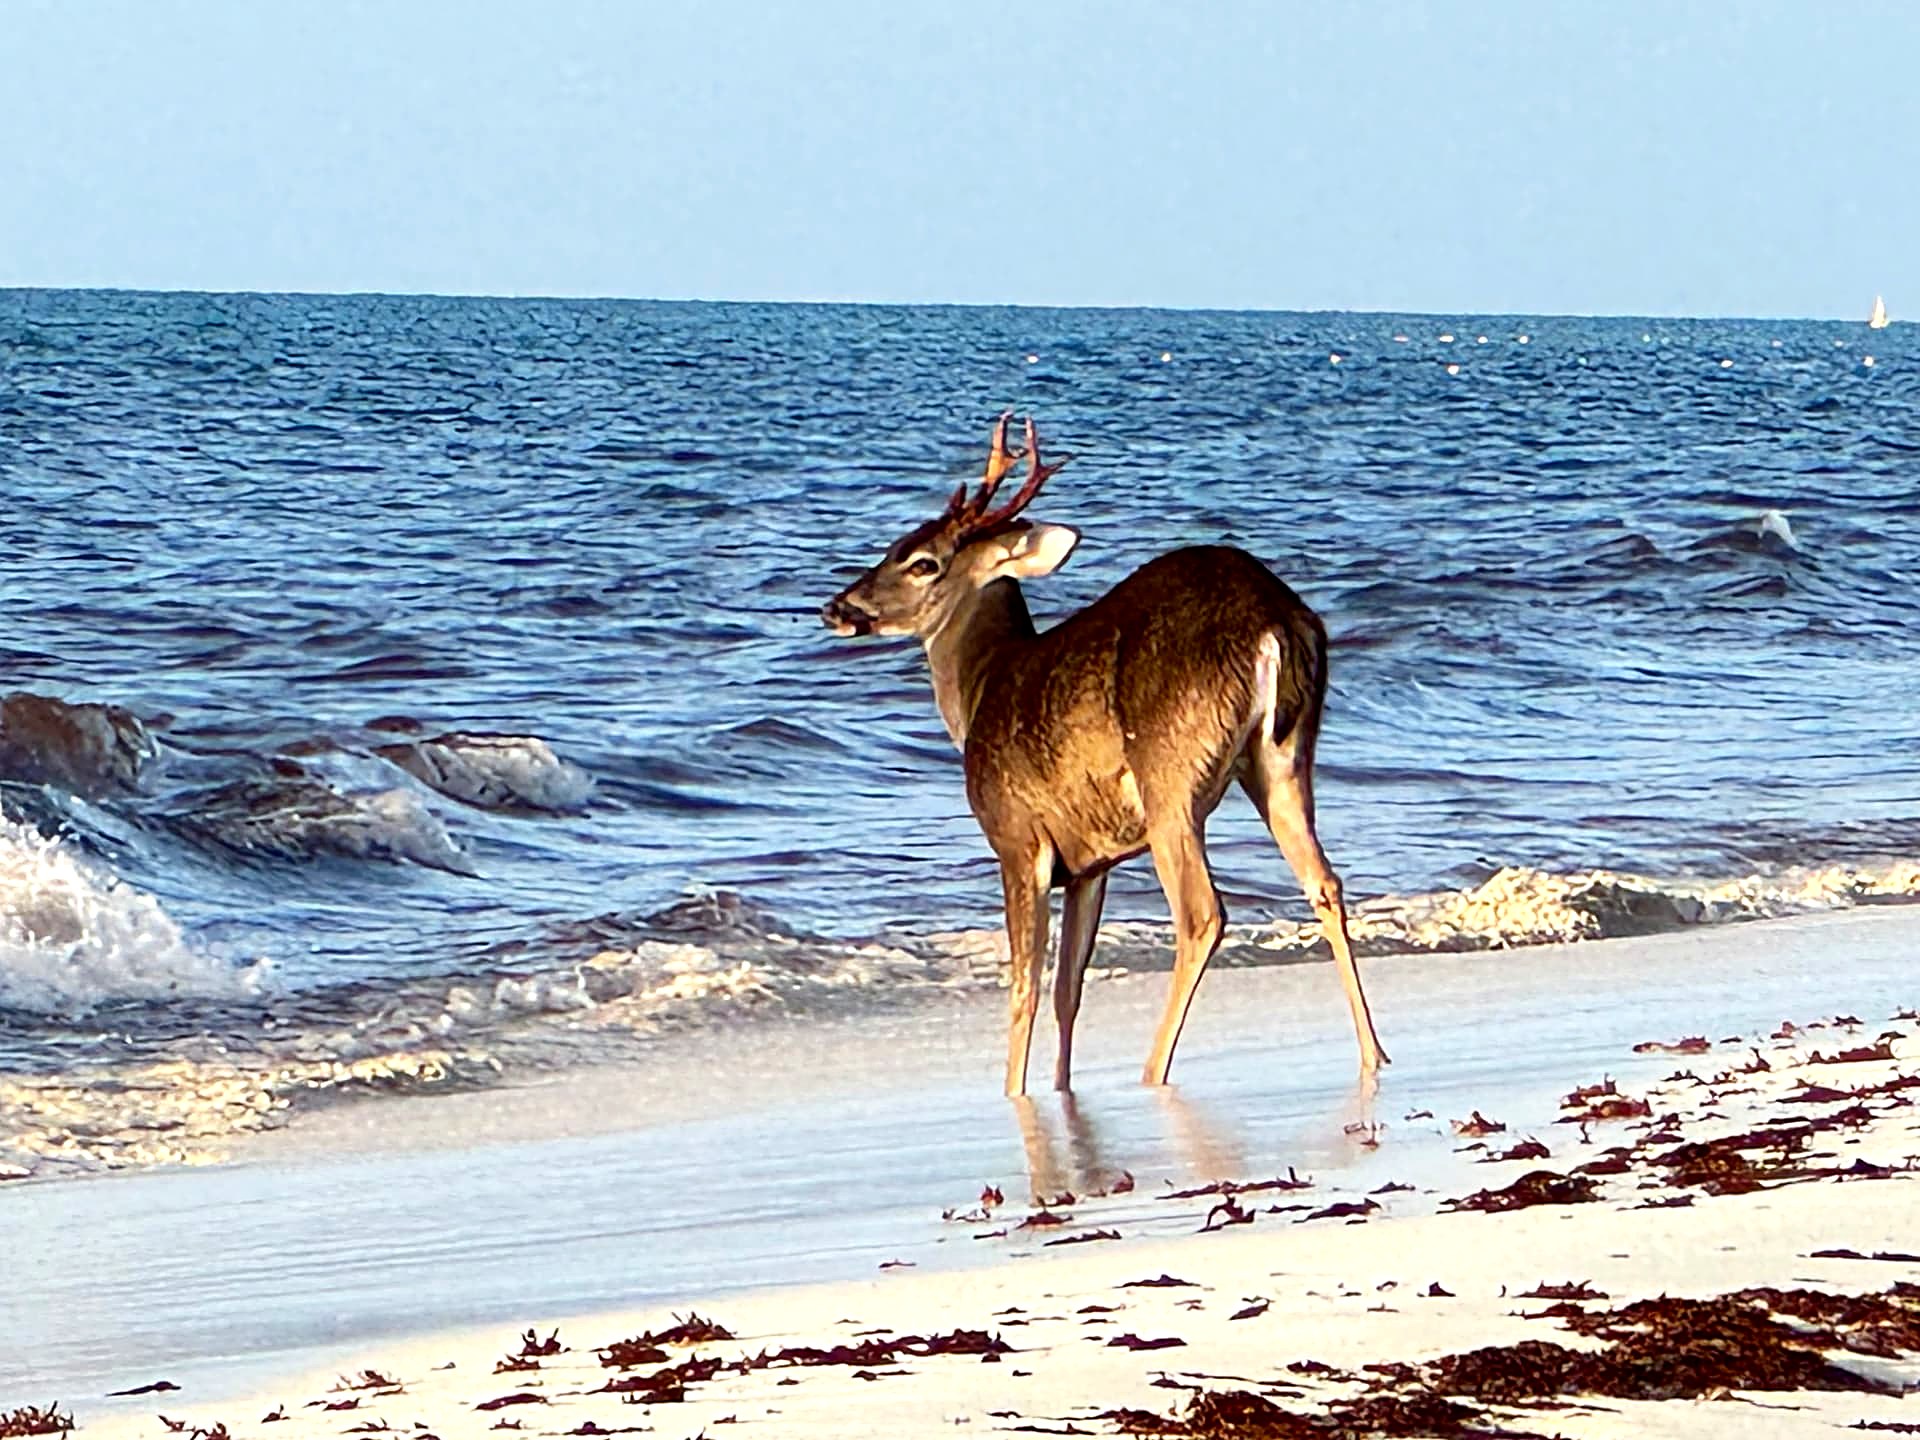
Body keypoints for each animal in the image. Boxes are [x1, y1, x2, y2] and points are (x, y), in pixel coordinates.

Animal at [821, 415, 1388, 1097]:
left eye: (921, 561)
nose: (837, 607)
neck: (983, 686)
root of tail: (1275, 620)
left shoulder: (1018, 837)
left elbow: (1024, 988)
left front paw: (1014, 1093)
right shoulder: (1092, 863)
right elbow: (1068, 989)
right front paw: (1060, 1087)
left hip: (1170, 777)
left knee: (1201, 914)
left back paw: (1153, 1070)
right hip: (1281, 757)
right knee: (1324, 883)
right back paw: (1374, 1054)